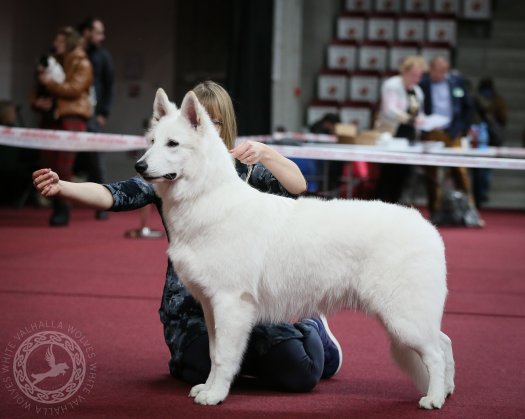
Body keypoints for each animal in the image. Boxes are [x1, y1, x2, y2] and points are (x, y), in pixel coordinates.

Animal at [136, 89, 454, 410]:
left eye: (172, 144)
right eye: (151, 142)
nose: (139, 166)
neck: (207, 196)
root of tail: (428, 228)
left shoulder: (230, 304)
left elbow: (224, 357)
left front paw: (216, 395)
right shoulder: (211, 307)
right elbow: (213, 354)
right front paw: (208, 388)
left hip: (403, 319)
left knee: (436, 354)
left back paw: (434, 398)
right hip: (407, 319)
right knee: (445, 343)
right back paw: (447, 390)